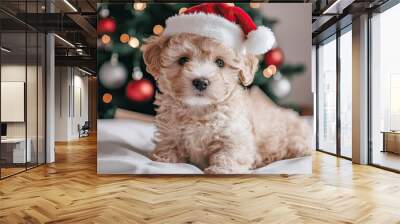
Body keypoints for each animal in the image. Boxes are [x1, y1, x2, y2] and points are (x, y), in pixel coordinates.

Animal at [141, 32, 312, 173]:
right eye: (183, 60)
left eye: (220, 62)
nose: (201, 82)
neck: (199, 110)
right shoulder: (170, 133)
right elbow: (169, 146)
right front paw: (164, 159)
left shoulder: (235, 135)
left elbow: (229, 154)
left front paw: (221, 170)